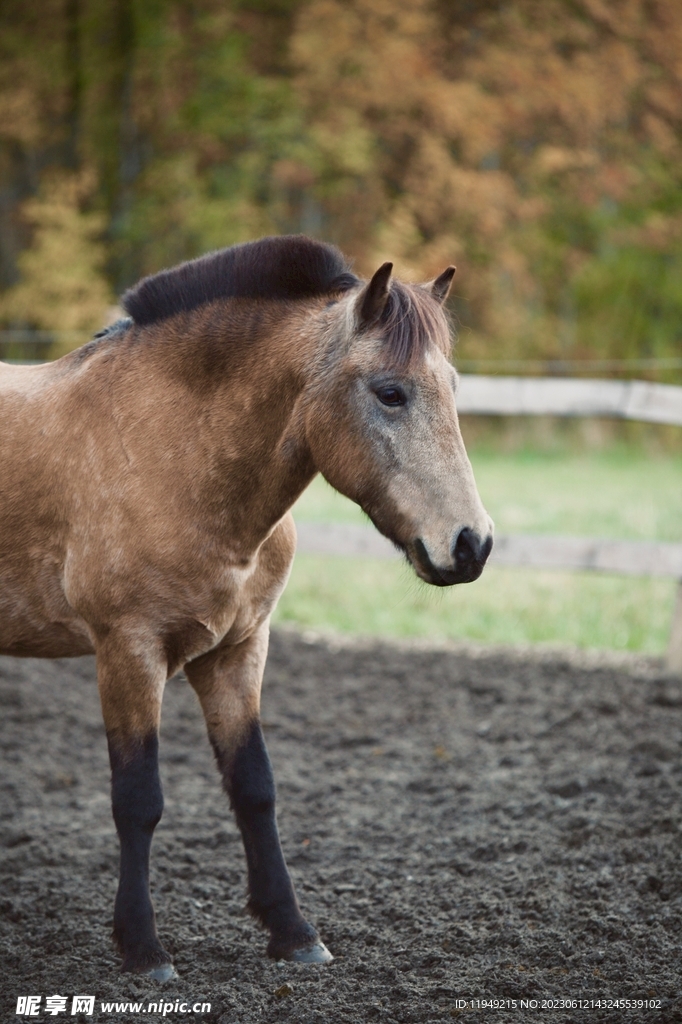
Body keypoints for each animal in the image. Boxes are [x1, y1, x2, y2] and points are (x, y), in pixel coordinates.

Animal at [0, 235, 493, 979]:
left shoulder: (237, 651)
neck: (167, 452)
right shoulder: (128, 651)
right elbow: (138, 799)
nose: (471, 544)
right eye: (390, 392)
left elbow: (255, 788)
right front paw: (143, 948)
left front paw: (291, 931)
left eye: (455, 389)